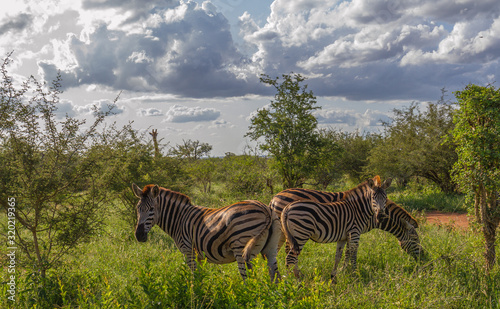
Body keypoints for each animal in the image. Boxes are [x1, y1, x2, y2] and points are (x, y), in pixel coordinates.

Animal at [132, 183, 282, 282]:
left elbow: (194, 277)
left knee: (248, 280)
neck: (179, 218)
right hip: (271, 249)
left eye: (151, 209)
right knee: (276, 277)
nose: (139, 235)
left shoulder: (188, 251)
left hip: (242, 249)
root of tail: (265, 209)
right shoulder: (199, 255)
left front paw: (195, 294)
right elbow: (200, 276)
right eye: (138, 208)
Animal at [272, 186, 424, 262]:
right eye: (415, 239)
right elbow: (350, 253)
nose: (424, 257)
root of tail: (275, 197)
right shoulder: (354, 230)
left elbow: (345, 253)